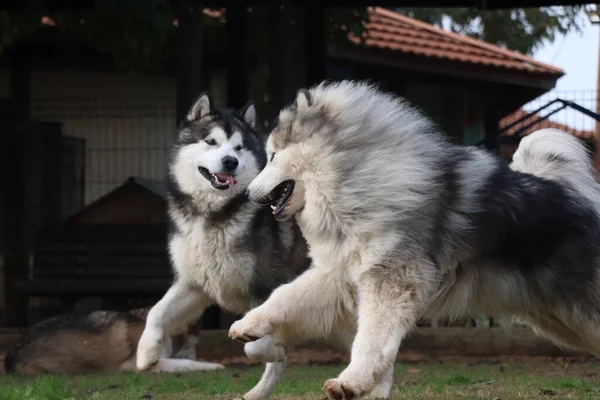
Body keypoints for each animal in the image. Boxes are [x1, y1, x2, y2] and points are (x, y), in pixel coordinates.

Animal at [137, 94, 310, 400]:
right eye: (211, 142)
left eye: (239, 147)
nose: (230, 161)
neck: (215, 214)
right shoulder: (195, 285)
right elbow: (155, 312)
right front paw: (146, 354)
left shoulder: (266, 287)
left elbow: (255, 344)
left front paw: (275, 349)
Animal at [231, 81, 600, 400]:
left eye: (274, 155)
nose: (246, 194)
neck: (356, 178)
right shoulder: (340, 277)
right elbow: (285, 296)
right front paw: (248, 324)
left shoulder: (390, 282)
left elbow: (369, 341)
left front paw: (351, 382)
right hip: (559, 322)